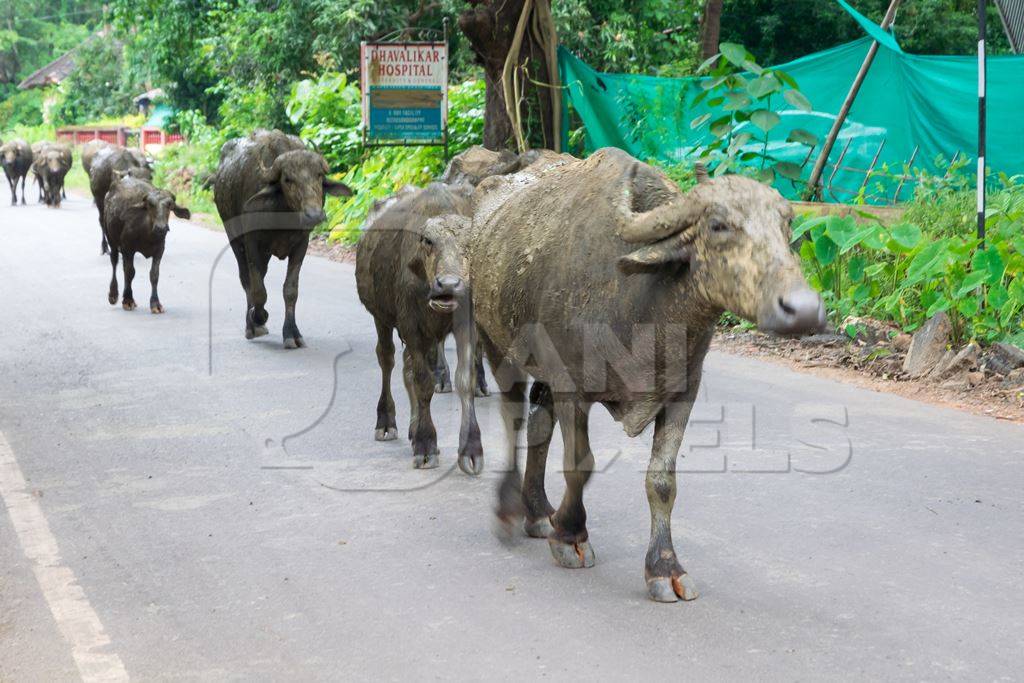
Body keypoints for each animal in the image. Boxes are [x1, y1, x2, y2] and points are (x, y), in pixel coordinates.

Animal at [212, 132, 352, 350]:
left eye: (318, 175)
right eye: (288, 179)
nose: (314, 215)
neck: (283, 217)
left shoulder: (301, 245)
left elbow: (290, 290)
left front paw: (292, 333)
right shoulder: (252, 243)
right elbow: (258, 290)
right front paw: (258, 317)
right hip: (235, 240)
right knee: (246, 280)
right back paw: (252, 326)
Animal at [468, 148, 827, 602]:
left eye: (786, 226)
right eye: (718, 225)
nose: (805, 310)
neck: (642, 302)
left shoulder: (682, 393)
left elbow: (662, 480)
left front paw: (663, 567)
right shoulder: (571, 387)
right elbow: (580, 464)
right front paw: (570, 535)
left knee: (538, 426)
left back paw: (536, 511)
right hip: (496, 344)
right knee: (514, 418)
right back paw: (509, 508)